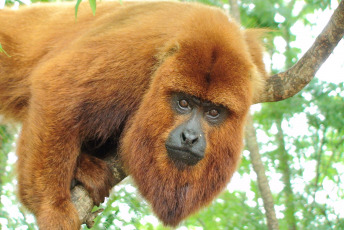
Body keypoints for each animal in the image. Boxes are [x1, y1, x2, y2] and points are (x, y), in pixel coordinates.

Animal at [0, 0, 268, 229]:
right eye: (183, 102)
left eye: (213, 112)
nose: (190, 137)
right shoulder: (133, 54)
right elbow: (55, 87)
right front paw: (52, 209)